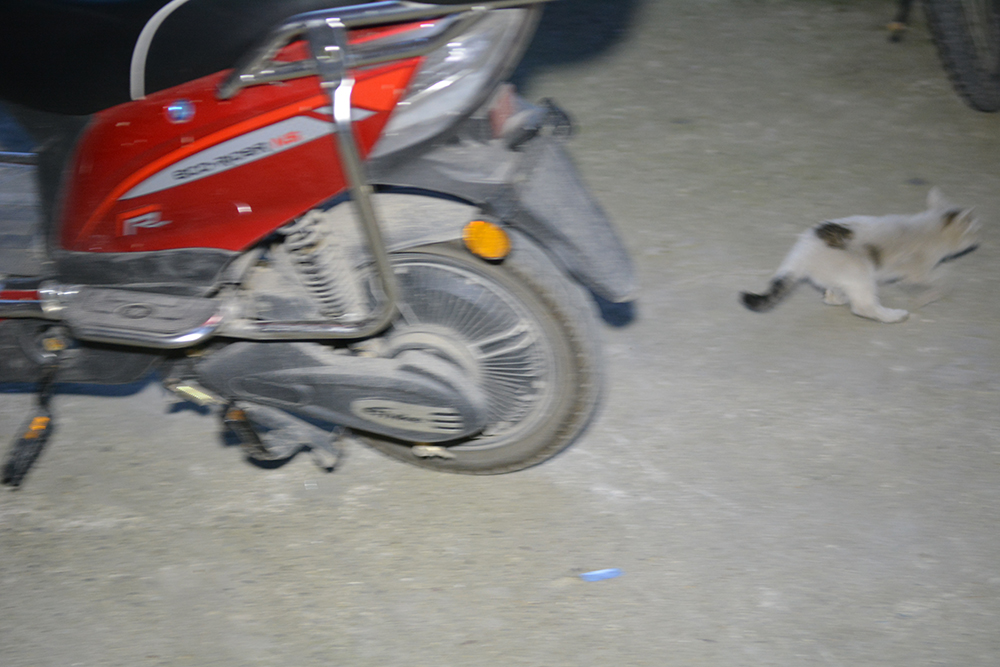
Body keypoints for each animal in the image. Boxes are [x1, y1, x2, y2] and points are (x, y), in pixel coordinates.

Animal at [740, 188, 980, 323]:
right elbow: (942, 281)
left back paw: (835, 297)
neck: (931, 230)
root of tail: (802, 251)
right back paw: (893, 316)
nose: (978, 240)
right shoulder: (916, 272)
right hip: (860, 269)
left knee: (839, 292)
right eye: (974, 230)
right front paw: (928, 295)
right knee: (864, 307)